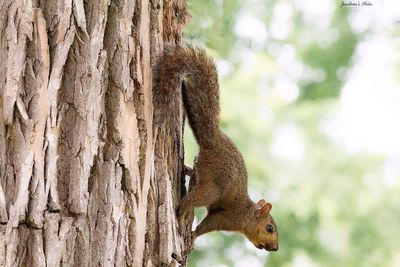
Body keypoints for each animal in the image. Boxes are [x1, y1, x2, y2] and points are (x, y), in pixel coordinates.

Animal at [152, 45, 278, 252]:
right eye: (269, 228)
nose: (275, 248)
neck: (247, 215)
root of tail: (214, 140)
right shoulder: (225, 218)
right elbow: (206, 226)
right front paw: (193, 236)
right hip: (214, 186)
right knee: (192, 200)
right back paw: (182, 213)